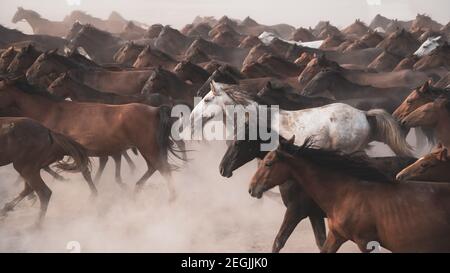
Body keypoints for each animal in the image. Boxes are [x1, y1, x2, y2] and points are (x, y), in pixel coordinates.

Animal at [0, 77, 185, 197]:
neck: (52, 111)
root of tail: (156, 110)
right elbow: (85, 170)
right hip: (148, 149)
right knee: (154, 167)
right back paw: (137, 189)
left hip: (148, 148)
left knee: (163, 169)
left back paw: (171, 198)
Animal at [248, 137, 450, 252]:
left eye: (268, 163)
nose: (251, 188)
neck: (345, 193)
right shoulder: (335, 235)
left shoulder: (366, 242)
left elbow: (279, 241)